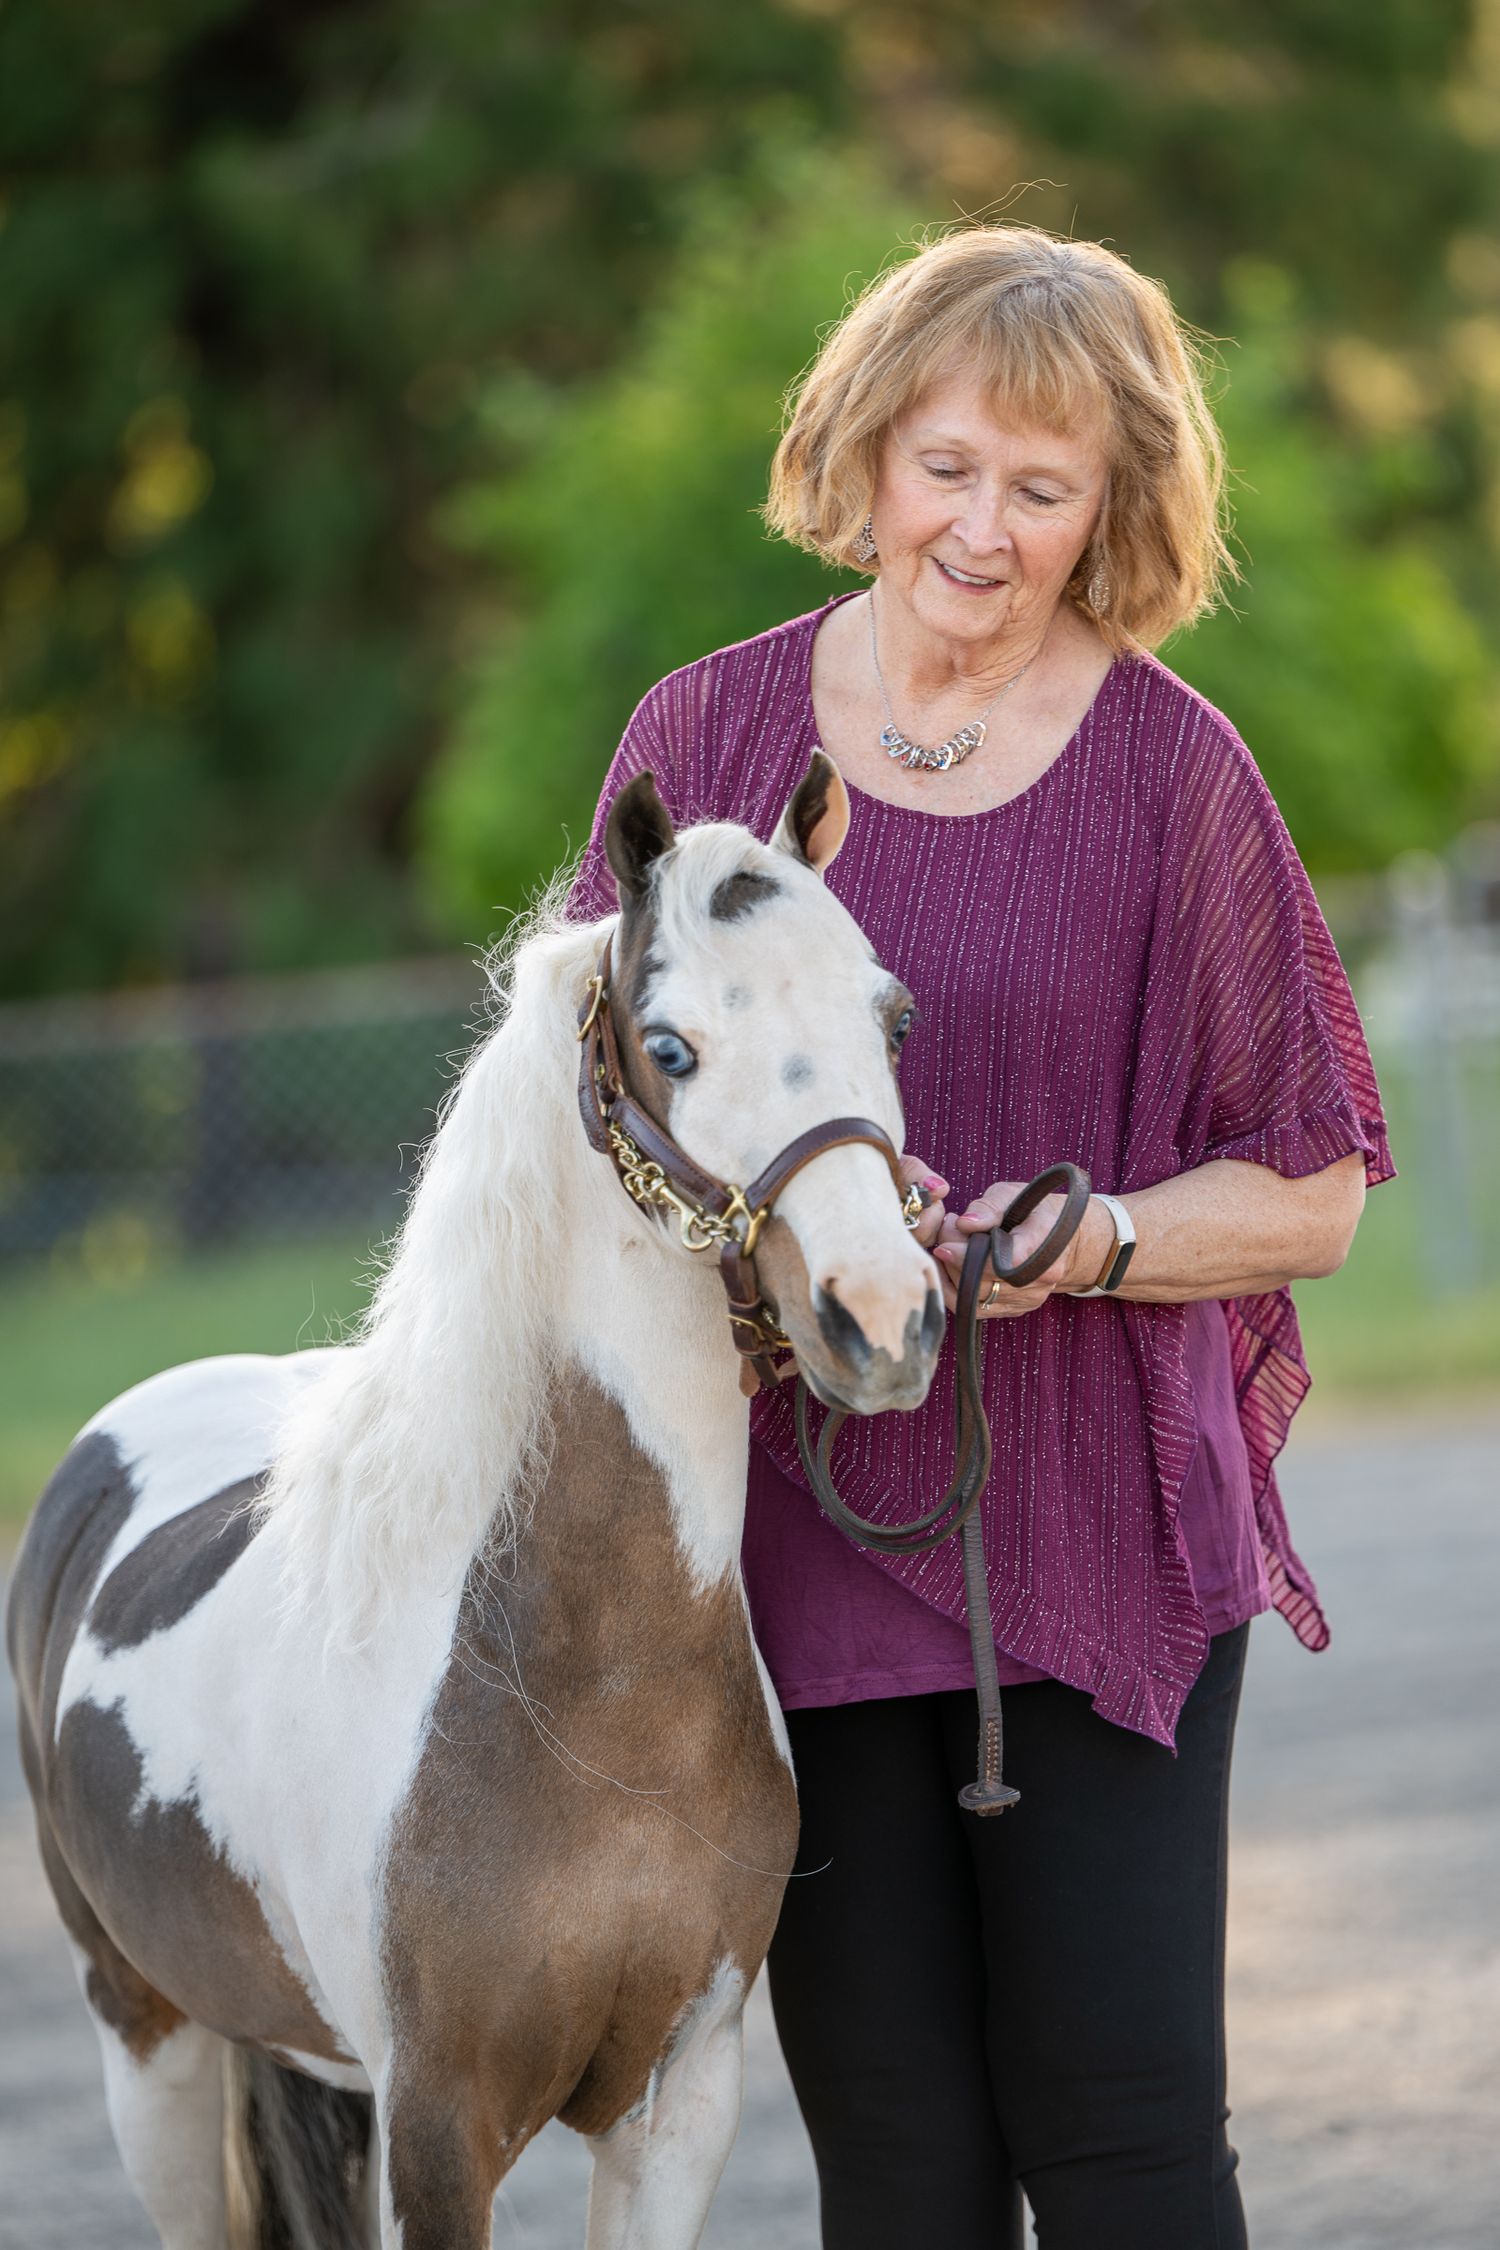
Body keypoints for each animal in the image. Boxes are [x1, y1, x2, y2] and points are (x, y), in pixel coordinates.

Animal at [7, 755, 944, 2249]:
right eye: (671, 1046)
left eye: (890, 1015)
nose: (884, 1315)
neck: (575, 1686)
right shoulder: (439, 2127)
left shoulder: (680, 2102)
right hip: (146, 2038)